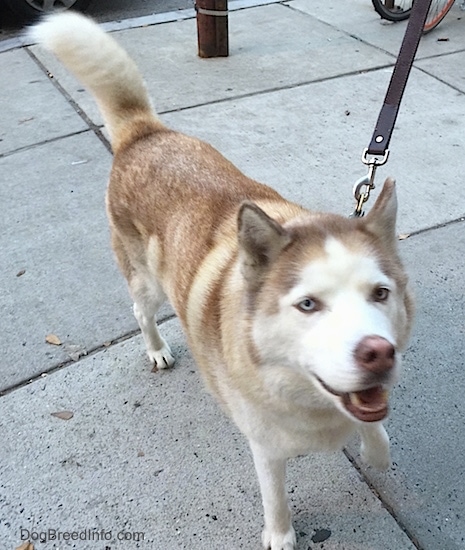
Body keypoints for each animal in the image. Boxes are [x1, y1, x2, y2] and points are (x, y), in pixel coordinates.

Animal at [29, 14, 414, 550]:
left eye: (380, 294)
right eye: (308, 305)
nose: (378, 352)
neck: (307, 396)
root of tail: (144, 131)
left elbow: (375, 426)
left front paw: (377, 451)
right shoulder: (265, 443)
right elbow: (275, 498)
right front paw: (280, 535)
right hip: (144, 278)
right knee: (140, 310)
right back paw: (155, 348)